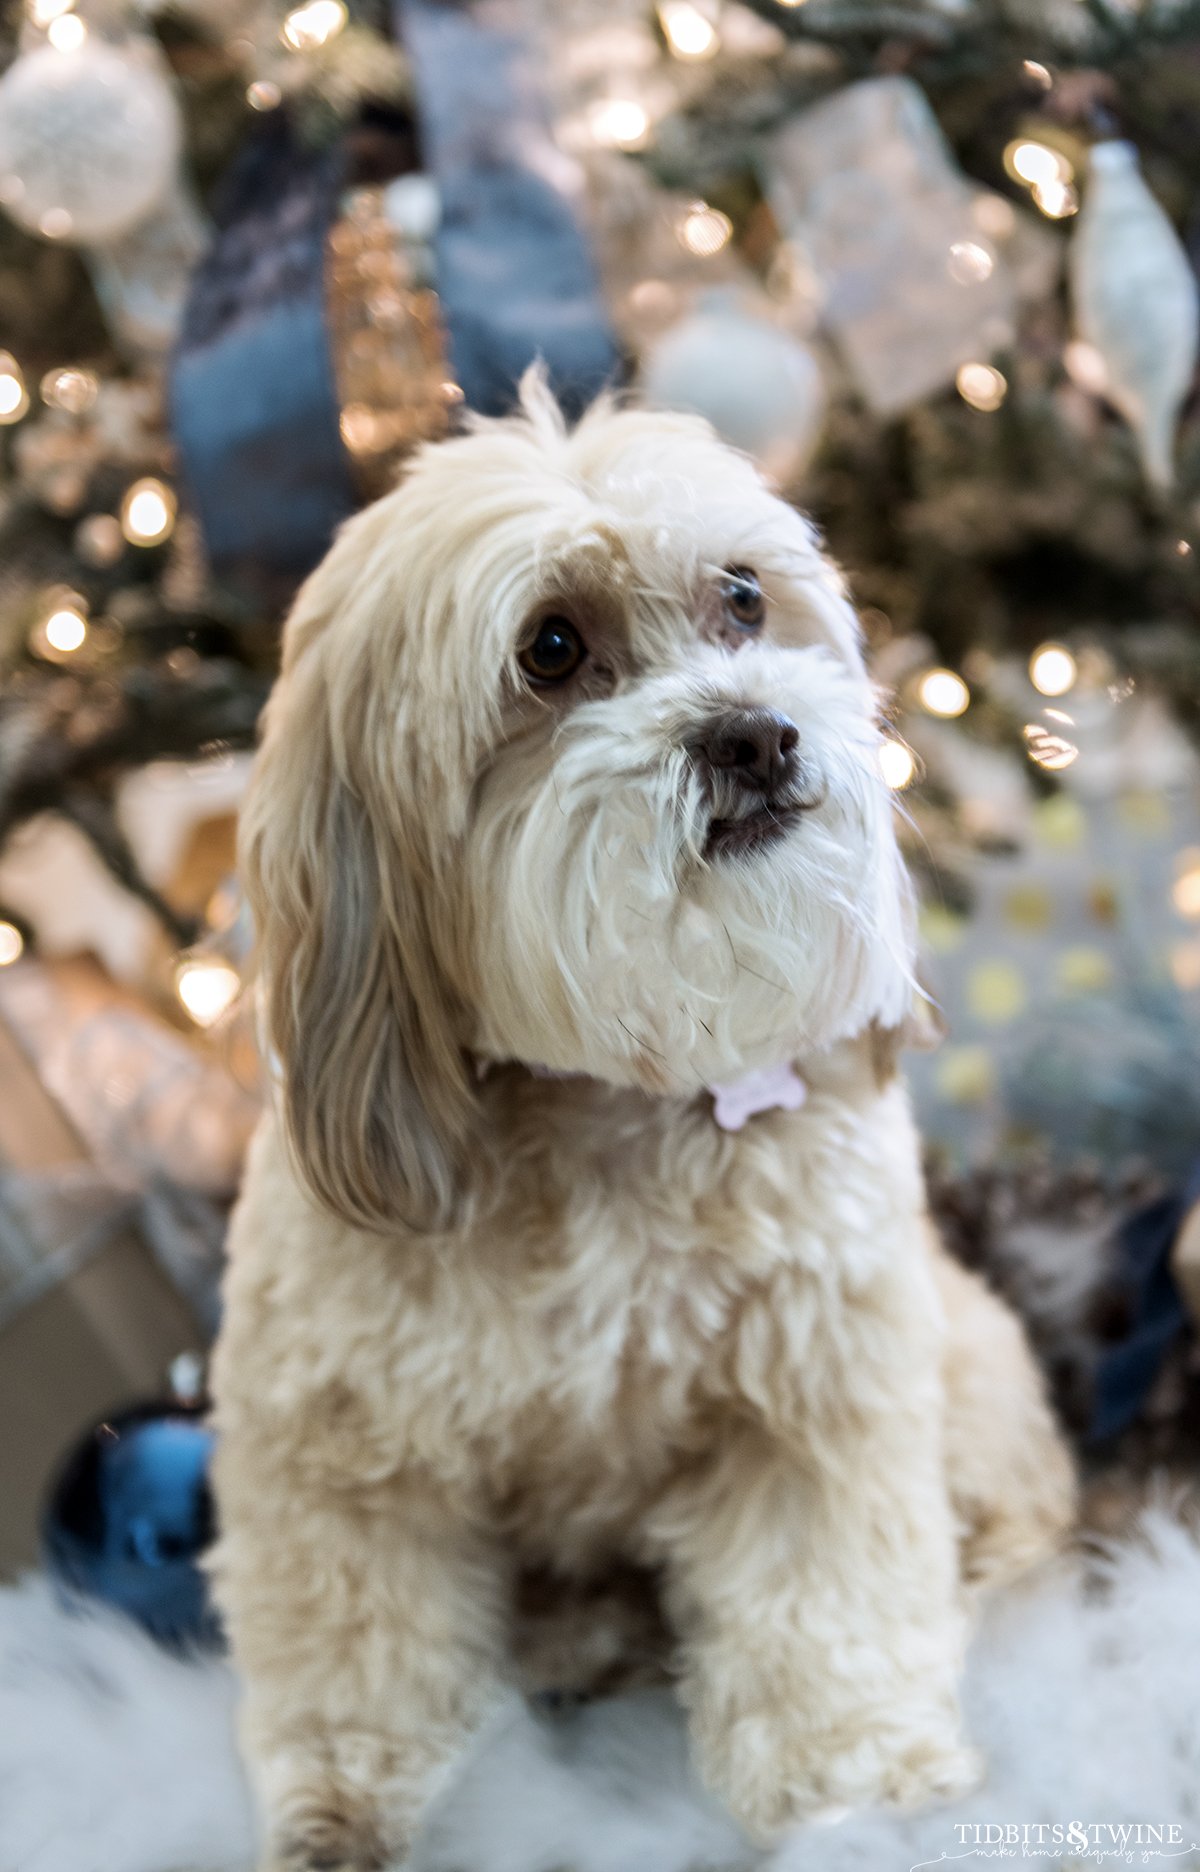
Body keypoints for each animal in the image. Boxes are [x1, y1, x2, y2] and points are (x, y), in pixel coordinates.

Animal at [207, 372, 1078, 1864]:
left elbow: (824, 1600)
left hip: (961, 1353)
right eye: (551, 649)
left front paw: (855, 1790)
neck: (609, 1104)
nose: (757, 733)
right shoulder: (333, 1444)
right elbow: (357, 1645)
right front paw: (346, 1813)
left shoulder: (813, 1394)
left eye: (743, 598)